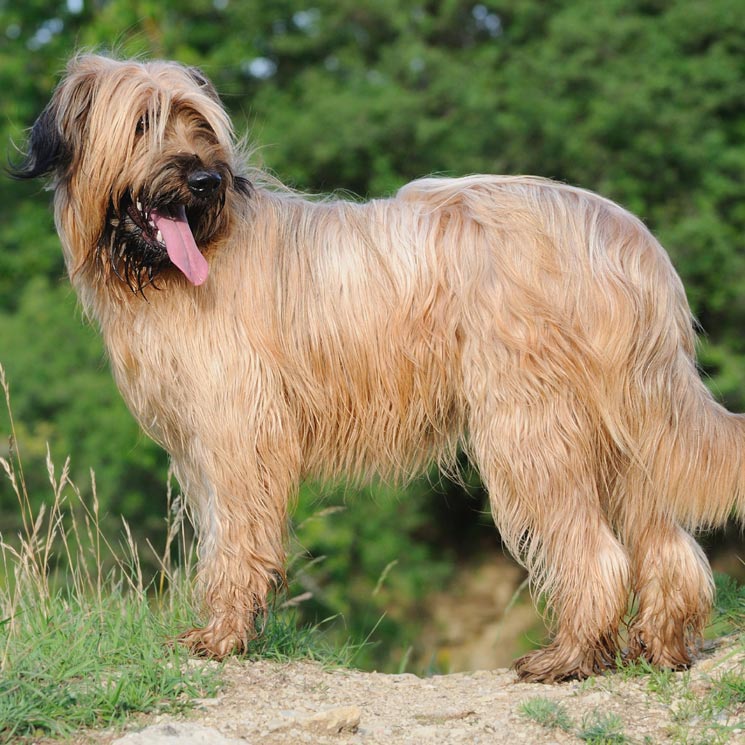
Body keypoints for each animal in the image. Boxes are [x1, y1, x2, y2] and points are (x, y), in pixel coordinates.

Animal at [11, 52, 744, 680]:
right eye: (143, 123)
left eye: (199, 124)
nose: (205, 180)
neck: (185, 263)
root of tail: (625, 237)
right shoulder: (203, 445)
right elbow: (220, 532)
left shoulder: (238, 430)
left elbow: (236, 539)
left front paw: (222, 635)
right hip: (624, 421)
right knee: (664, 538)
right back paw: (661, 644)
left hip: (530, 422)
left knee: (594, 550)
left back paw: (569, 655)